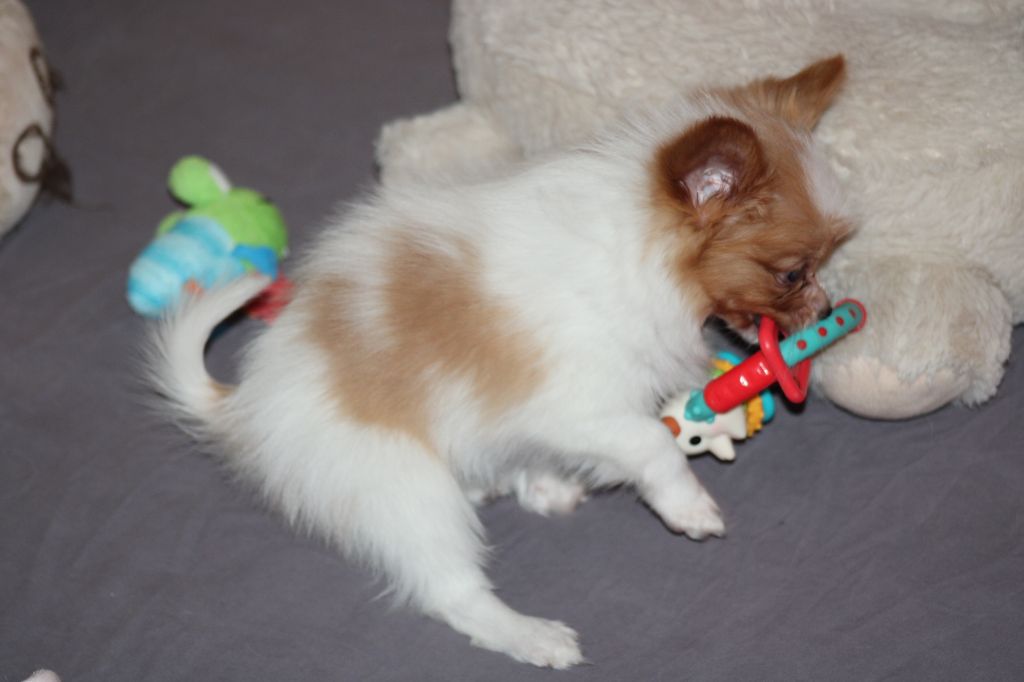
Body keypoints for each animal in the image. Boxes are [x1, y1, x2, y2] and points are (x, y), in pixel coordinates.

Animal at [148, 55, 851, 668]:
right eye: (792, 274)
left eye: (830, 260)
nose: (829, 313)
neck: (641, 251)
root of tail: (246, 404)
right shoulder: (576, 404)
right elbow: (653, 442)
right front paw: (690, 506)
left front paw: (558, 480)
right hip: (407, 490)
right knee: (452, 594)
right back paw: (532, 635)